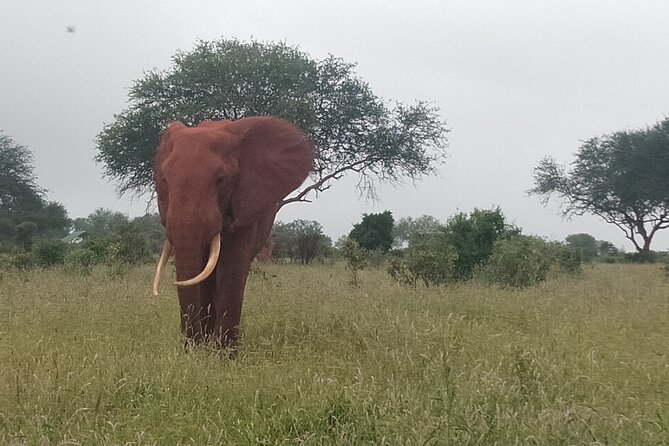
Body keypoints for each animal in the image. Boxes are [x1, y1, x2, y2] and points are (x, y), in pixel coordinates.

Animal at [151, 116, 313, 348]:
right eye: (164, 181)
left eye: (221, 180)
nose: (189, 346)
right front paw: (202, 349)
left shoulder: (246, 203)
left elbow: (231, 270)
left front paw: (223, 351)